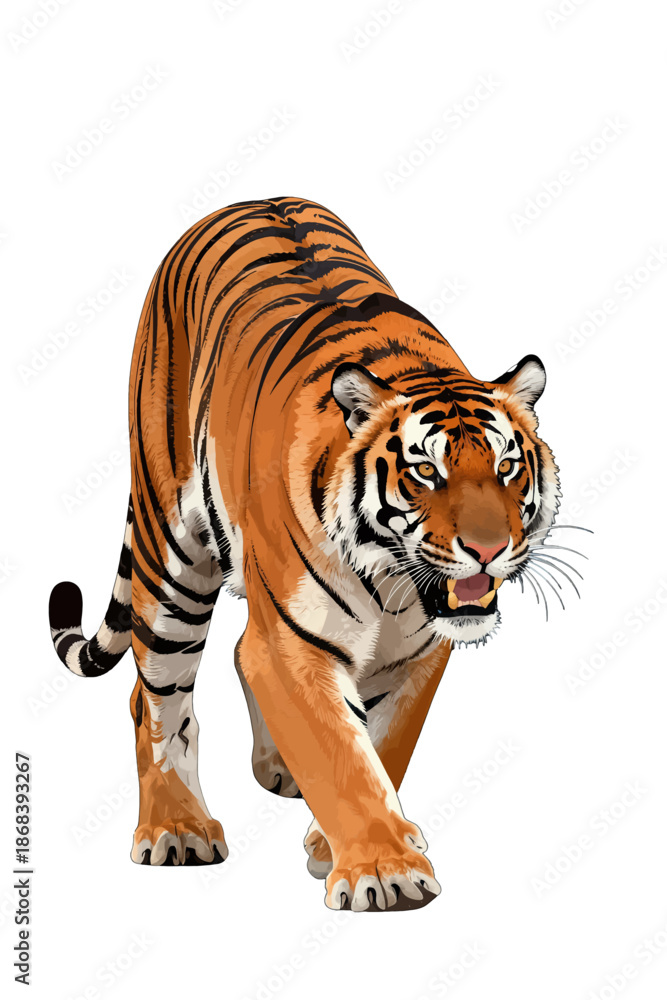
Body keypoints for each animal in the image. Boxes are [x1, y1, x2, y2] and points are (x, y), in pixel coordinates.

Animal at [49, 196, 562, 912]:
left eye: (507, 466)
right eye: (425, 472)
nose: (489, 549)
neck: (393, 583)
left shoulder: (418, 655)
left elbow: (384, 744)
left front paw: (335, 843)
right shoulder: (293, 641)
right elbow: (339, 753)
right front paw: (384, 870)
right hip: (171, 562)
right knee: (156, 698)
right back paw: (176, 828)